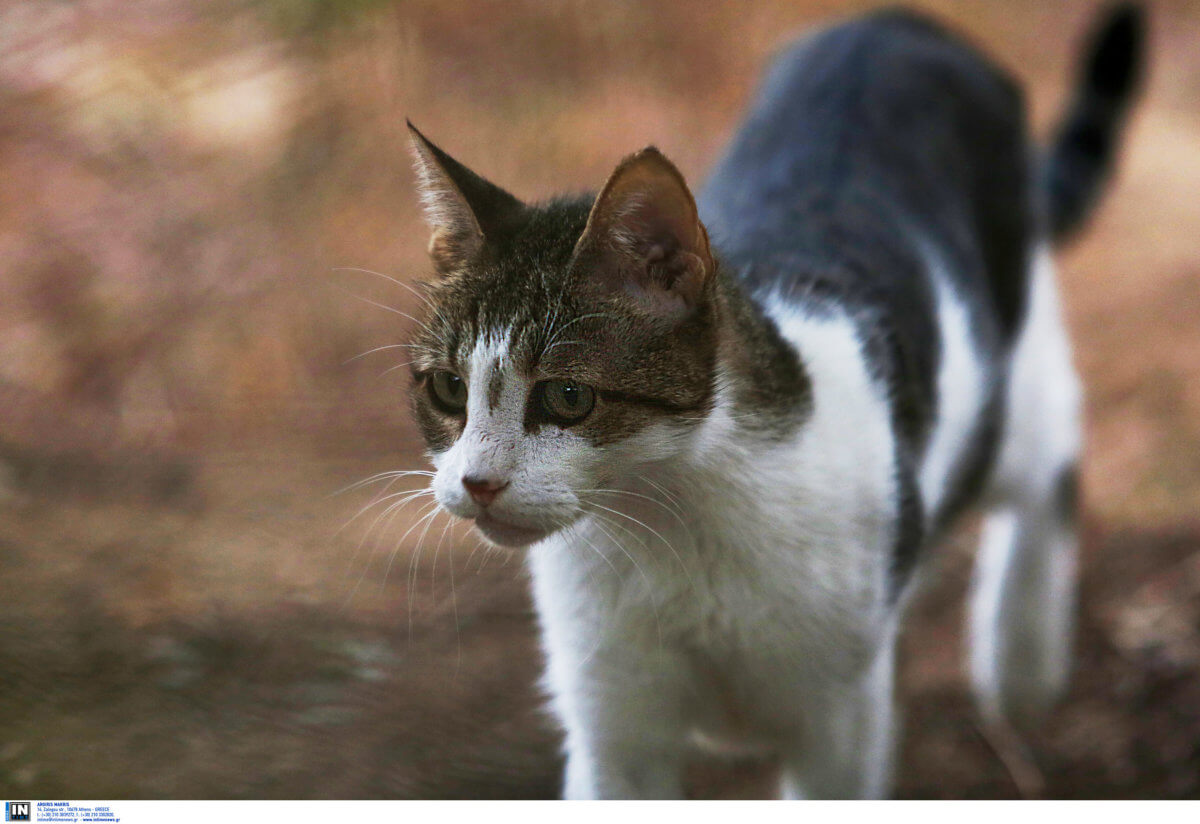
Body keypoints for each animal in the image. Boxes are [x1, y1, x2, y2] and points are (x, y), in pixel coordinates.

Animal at [400, 4, 1142, 801]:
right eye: (448, 389)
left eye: (568, 398)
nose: (477, 482)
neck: (675, 519)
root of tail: (896, 23)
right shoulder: (614, 727)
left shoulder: (841, 722)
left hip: (1008, 367)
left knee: (1046, 452)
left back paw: (1020, 659)